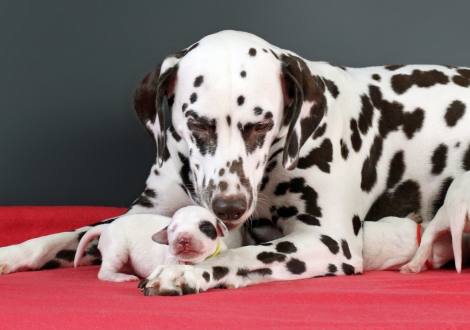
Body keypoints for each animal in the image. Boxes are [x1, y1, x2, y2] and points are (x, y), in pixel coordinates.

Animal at [73, 206, 233, 282]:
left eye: (205, 227)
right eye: (172, 230)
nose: (182, 239)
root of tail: (106, 227)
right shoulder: (170, 259)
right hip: (116, 247)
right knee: (105, 271)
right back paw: (121, 277)